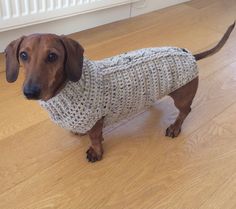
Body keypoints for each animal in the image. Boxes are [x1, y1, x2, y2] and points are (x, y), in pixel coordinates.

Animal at [4, 22, 235, 162]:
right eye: (23, 55)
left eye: (52, 56)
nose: (30, 92)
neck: (68, 88)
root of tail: (189, 55)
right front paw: (79, 132)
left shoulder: (96, 121)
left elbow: (95, 139)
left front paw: (95, 153)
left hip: (182, 97)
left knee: (185, 111)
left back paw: (175, 128)